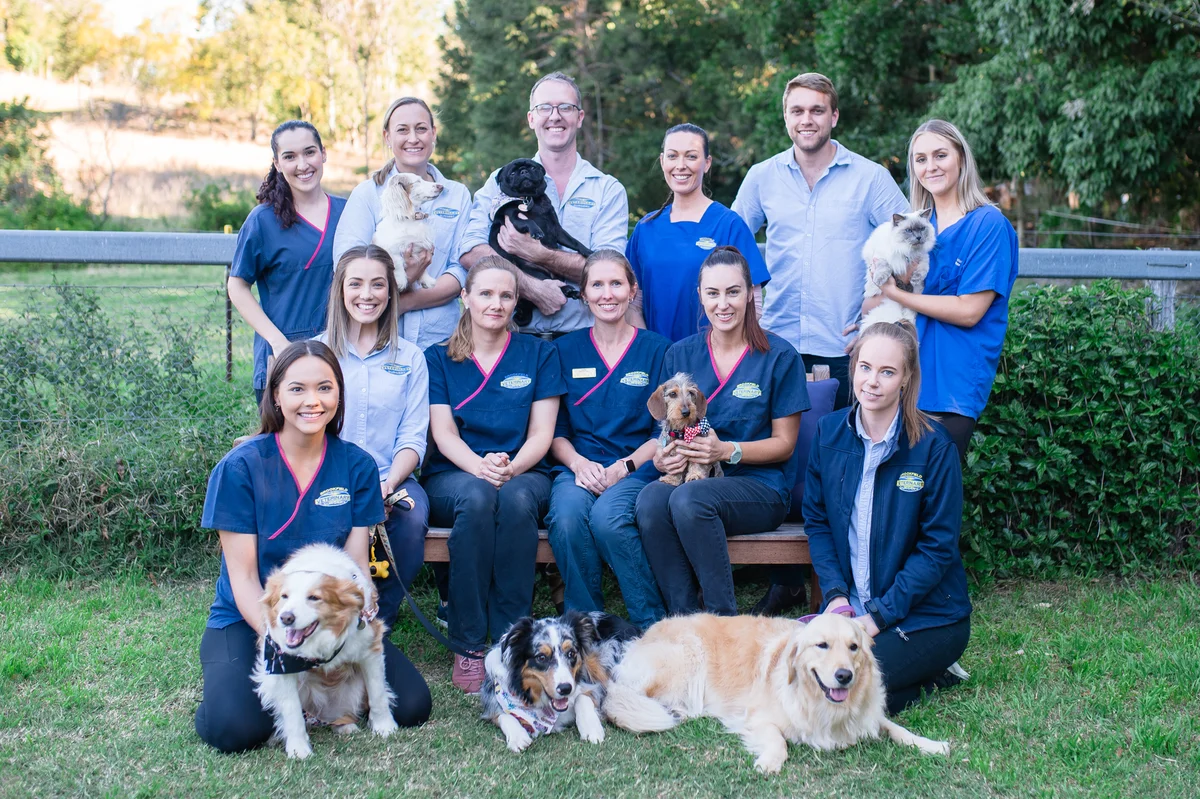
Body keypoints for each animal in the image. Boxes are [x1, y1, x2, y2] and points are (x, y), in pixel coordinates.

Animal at [252, 543, 397, 759]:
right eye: (284, 596)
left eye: (314, 598)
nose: (286, 617)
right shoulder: (279, 664)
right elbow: (292, 711)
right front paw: (298, 749)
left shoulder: (369, 649)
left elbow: (378, 693)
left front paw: (385, 727)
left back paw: (345, 726)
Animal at [480, 611, 640, 753]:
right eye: (541, 657)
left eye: (571, 653)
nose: (565, 688)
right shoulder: (494, 698)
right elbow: (504, 714)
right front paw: (518, 736)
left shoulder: (593, 686)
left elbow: (582, 697)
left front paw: (591, 728)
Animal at [489, 158, 592, 326]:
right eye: (512, 173)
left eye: (532, 167)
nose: (523, 171)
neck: (530, 199)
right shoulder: (514, 218)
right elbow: (528, 222)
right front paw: (536, 231)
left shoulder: (556, 229)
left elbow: (574, 241)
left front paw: (587, 251)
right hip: (534, 272)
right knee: (550, 283)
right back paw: (567, 289)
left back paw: (570, 291)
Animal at [604, 613, 950, 774]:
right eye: (822, 645)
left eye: (854, 647)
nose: (845, 676)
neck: (819, 704)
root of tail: (641, 636)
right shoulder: (757, 718)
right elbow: (778, 741)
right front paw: (770, 761)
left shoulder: (868, 716)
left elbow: (899, 729)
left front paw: (932, 745)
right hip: (686, 658)